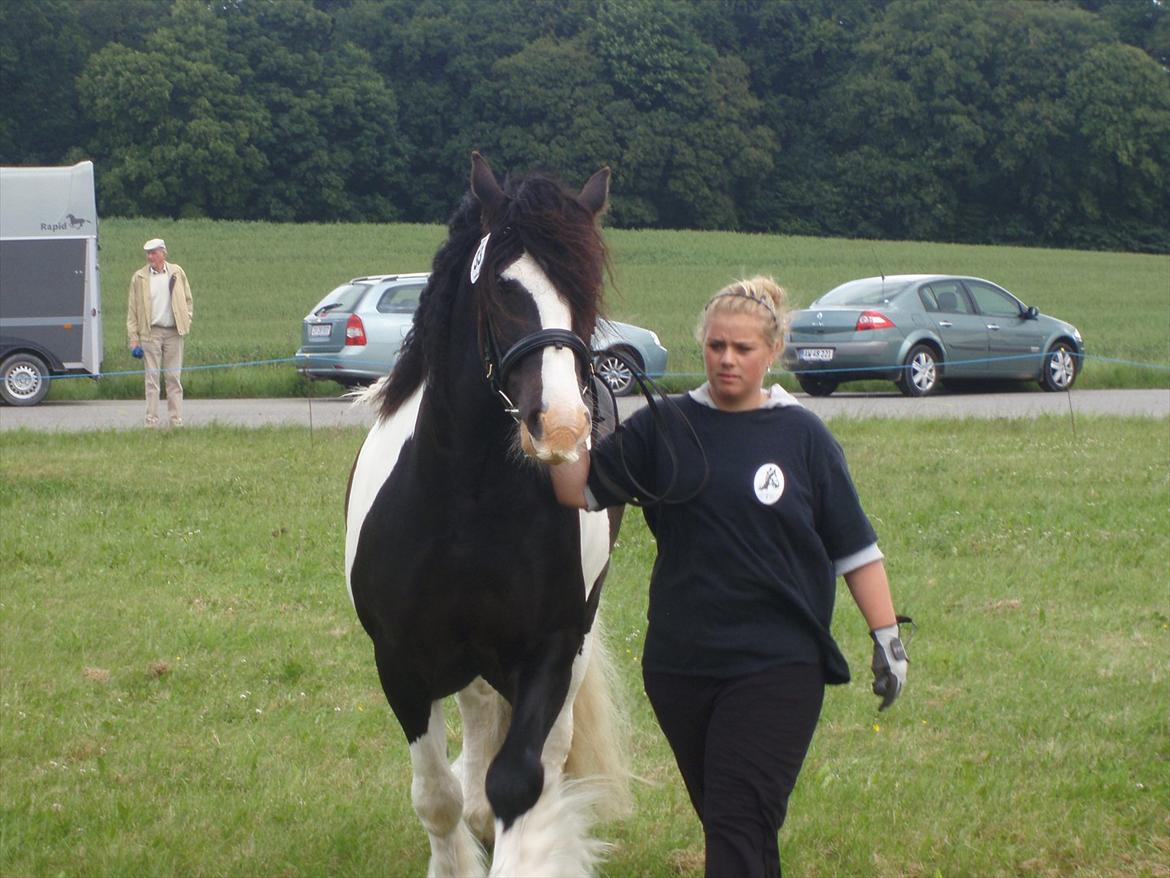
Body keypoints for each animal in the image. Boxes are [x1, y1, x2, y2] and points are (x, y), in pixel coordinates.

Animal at [341, 154, 627, 875]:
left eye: (585, 292)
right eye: (503, 287)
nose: (563, 426)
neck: (466, 504)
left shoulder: (550, 649)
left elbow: (521, 781)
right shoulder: (400, 660)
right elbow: (436, 796)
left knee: (548, 754)